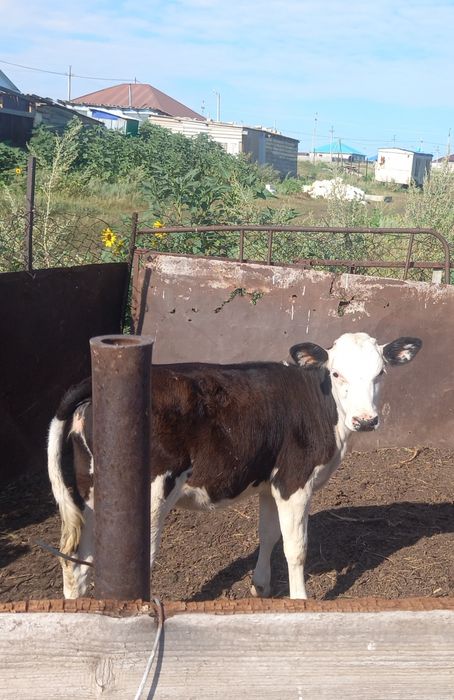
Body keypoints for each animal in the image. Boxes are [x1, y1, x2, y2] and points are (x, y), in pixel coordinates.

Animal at [47, 332, 421, 600]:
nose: (365, 420)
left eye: (380, 373)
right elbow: (296, 548)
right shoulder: (295, 481)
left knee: (76, 562)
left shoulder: (270, 482)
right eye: (336, 372)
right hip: (148, 497)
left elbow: (269, 534)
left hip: (91, 495)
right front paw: (300, 601)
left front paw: (261, 587)